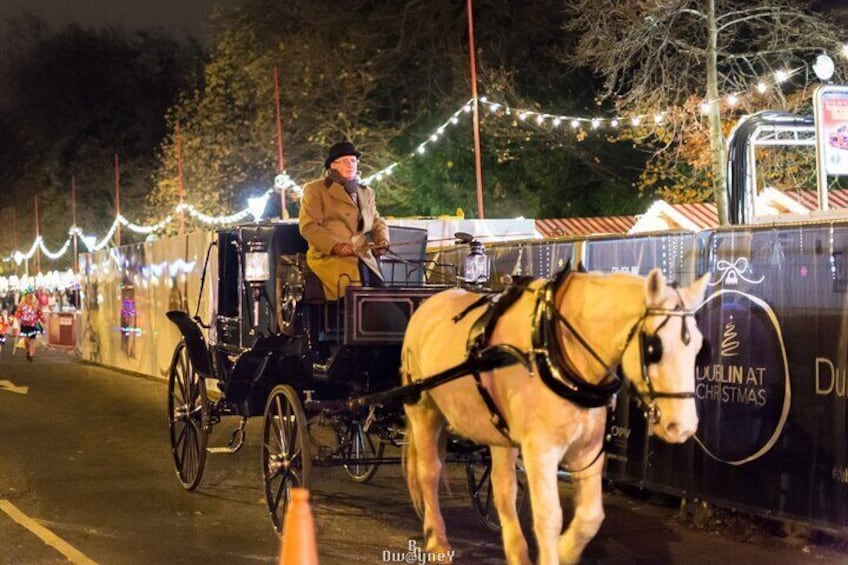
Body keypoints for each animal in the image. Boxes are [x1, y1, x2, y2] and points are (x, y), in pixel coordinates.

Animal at [400, 266, 704, 560]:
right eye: (654, 348)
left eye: (700, 347)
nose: (683, 427)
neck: (553, 348)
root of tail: (429, 305)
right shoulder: (540, 451)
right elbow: (548, 518)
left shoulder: (588, 450)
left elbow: (591, 516)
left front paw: (565, 550)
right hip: (423, 412)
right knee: (430, 472)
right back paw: (438, 542)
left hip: (498, 433)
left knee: (503, 490)